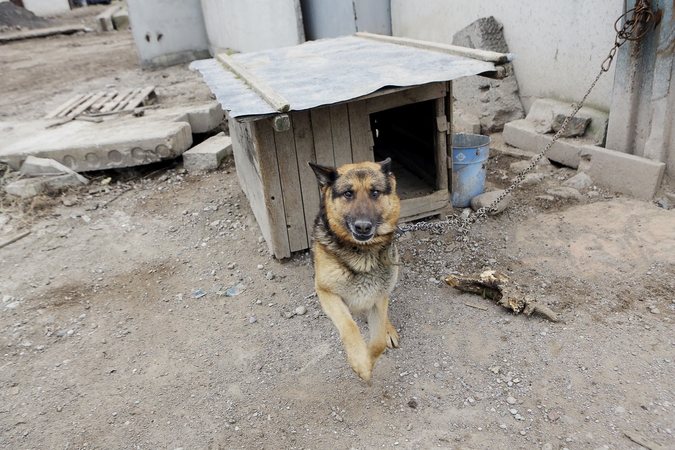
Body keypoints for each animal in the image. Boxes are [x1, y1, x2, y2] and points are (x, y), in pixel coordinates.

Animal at [310, 156, 402, 382]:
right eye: (348, 193)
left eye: (375, 192)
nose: (363, 227)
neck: (363, 252)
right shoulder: (327, 293)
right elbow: (349, 326)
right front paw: (361, 361)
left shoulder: (379, 294)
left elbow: (378, 342)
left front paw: (370, 356)